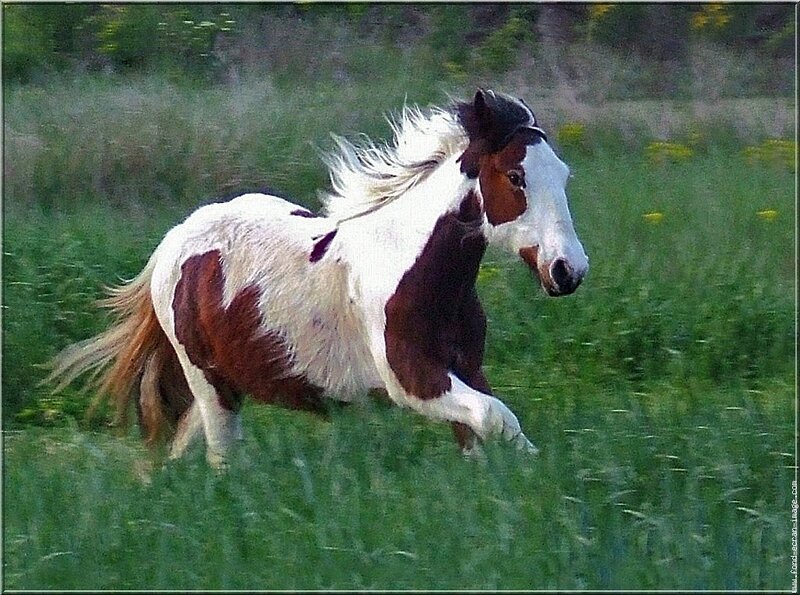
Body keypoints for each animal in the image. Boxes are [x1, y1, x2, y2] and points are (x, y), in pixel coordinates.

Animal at [46, 89, 589, 468]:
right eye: (515, 177)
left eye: (564, 176)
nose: (569, 270)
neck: (416, 271)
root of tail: (175, 240)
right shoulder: (412, 380)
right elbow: (496, 417)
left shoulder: (466, 368)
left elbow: (482, 431)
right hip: (210, 385)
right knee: (222, 459)